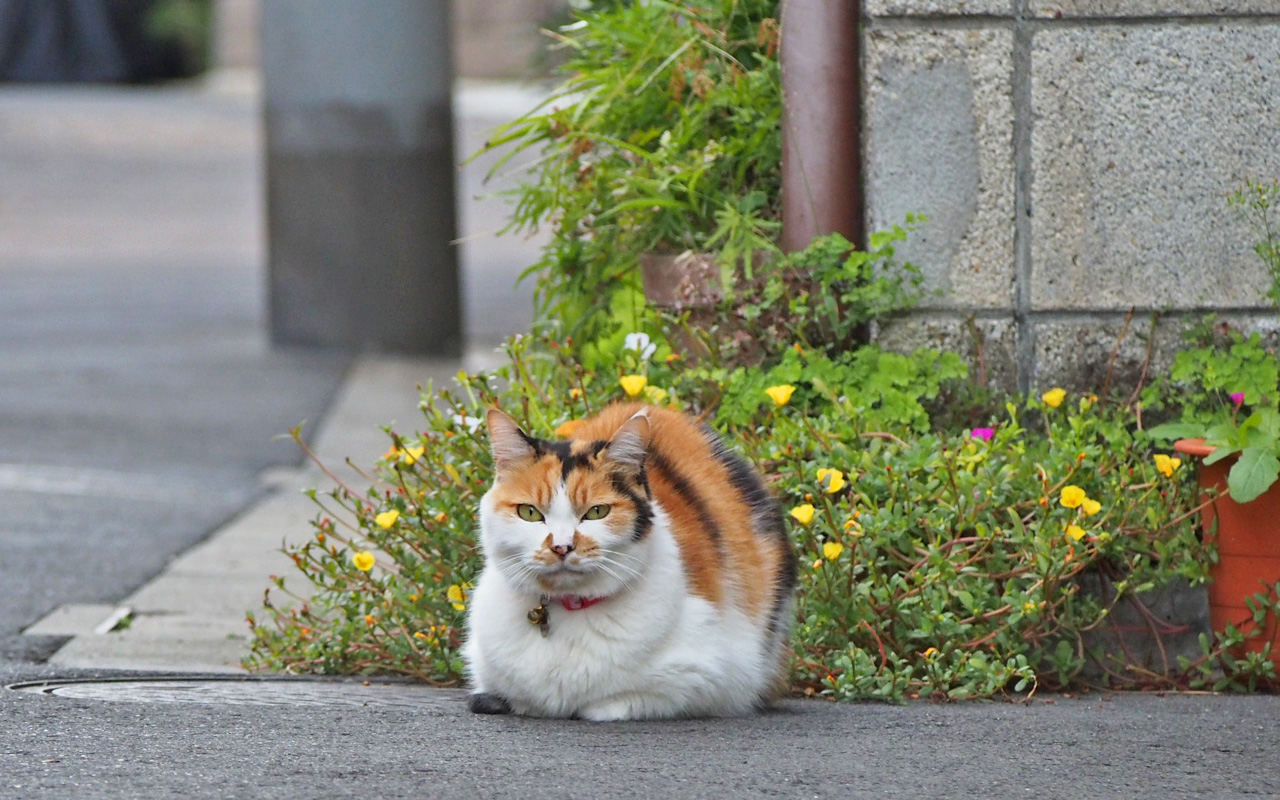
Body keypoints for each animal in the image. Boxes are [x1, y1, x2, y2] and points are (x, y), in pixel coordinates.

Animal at [465, 401, 793, 721]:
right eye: (529, 512)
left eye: (597, 512)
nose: (561, 547)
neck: (568, 609)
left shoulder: (713, 677)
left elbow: (608, 705)